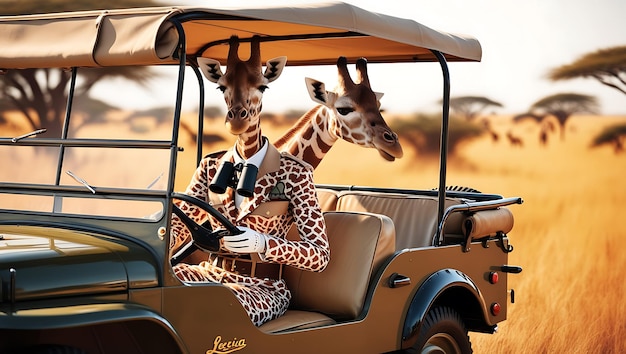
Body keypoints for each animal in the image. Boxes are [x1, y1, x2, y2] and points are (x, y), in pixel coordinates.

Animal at [168, 36, 330, 326]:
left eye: (263, 86)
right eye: (221, 86)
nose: (236, 119)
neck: (244, 160)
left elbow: (319, 250)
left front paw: (251, 240)